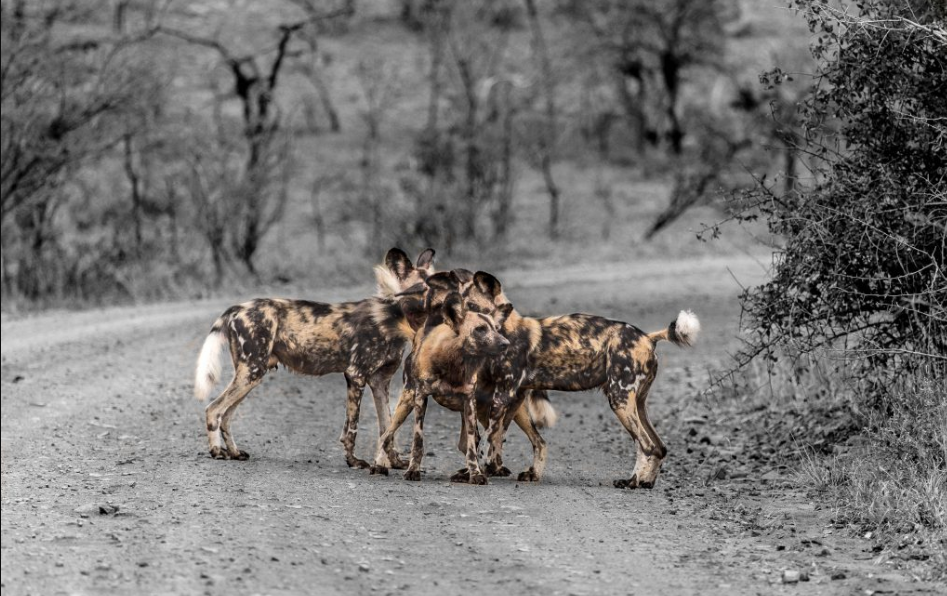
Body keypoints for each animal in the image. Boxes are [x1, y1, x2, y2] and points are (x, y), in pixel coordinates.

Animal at [193, 247, 436, 466]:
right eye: (423, 288)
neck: (392, 318)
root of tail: (237, 308)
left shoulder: (380, 383)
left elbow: (388, 427)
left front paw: (394, 461)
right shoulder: (355, 375)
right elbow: (353, 427)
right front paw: (353, 461)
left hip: (251, 376)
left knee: (226, 416)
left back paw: (234, 452)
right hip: (251, 373)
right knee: (213, 409)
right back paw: (217, 452)